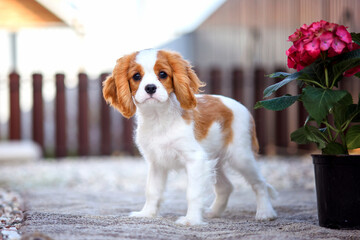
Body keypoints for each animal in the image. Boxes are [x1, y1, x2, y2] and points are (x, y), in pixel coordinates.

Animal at [102, 48, 278, 225]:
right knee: (226, 187)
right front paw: (147, 214)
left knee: (260, 183)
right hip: (214, 160)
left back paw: (265, 213)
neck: (159, 117)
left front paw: (191, 220)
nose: (150, 88)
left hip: (241, 157)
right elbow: (152, 190)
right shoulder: (157, 164)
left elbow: (192, 193)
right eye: (136, 76)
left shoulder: (195, 160)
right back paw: (214, 212)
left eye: (163, 74)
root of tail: (243, 107)